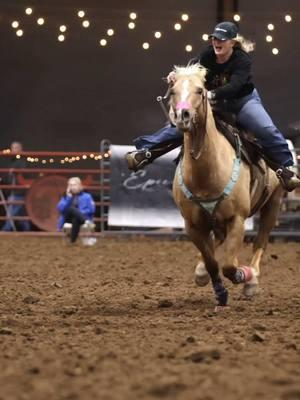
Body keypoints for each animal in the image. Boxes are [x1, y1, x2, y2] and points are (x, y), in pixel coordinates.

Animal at [170, 65, 282, 310]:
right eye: (172, 91)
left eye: (200, 90)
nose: (182, 116)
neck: (207, 173)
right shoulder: (192, 225)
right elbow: (213, 262)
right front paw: (219, 291)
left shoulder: (237, 219)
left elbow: (229, 266)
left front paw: (243, 275)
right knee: (217, 244)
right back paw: (202, 269)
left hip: (273, 203)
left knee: (260, 241)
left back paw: (252, 280)